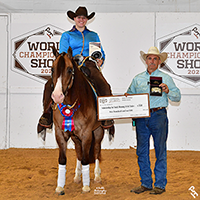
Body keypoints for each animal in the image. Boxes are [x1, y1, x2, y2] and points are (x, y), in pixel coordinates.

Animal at [50, 46, 114, 194]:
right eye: (52, 69)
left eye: (69, 69)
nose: (57, 96)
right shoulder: (60, 133)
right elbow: (63, 159)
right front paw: (60, 186)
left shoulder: (86, 134)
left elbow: (86, 159)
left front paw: (86, 186)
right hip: (75, 136)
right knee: (79, 152)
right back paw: (77, 176)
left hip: (98, 132)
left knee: (96, 150)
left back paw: (96, 176)